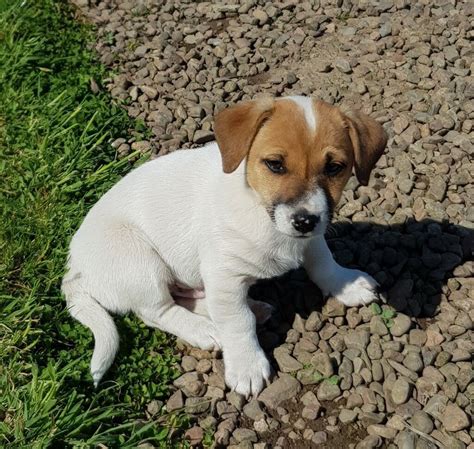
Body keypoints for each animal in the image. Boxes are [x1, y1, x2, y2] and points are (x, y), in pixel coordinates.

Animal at [62, 95, 386, 396]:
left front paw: (346, 284)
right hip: (140, 261)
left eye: (334, 168)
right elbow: (237, 321)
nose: (305, 221)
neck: (259, 208)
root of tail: (74, 269)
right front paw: (247, 365)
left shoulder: (312, 238)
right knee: (156, 311)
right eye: (275, 165)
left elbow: (323, 262)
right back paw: (205, 330)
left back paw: (250, 307)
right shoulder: (224, 274)